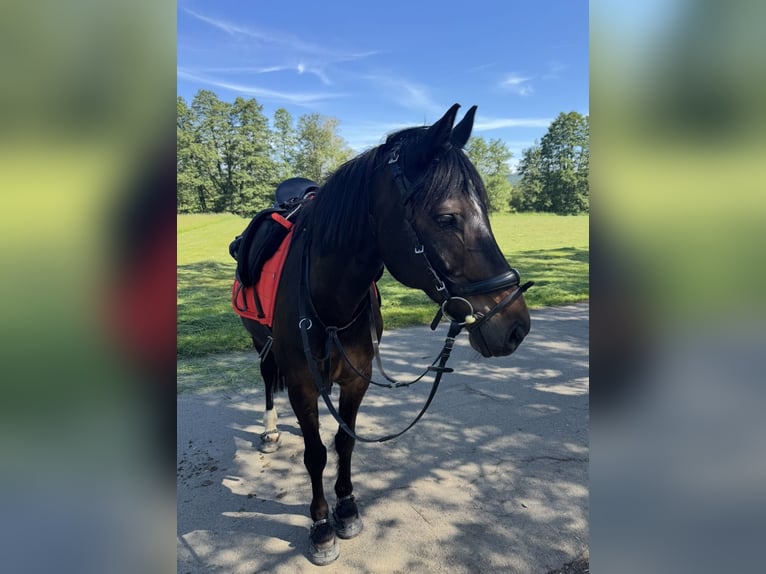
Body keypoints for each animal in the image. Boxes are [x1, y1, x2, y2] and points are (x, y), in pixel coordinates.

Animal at [240, 103, 532, 565]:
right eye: (446, 217)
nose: (516, 325)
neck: (330, 298)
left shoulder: (356, 378)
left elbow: (344, 442)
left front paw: (346, 508)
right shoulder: (303, 384)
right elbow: (315, 453)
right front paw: (321, 527)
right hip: (259, 342)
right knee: (269, 378)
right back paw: (270, 431)